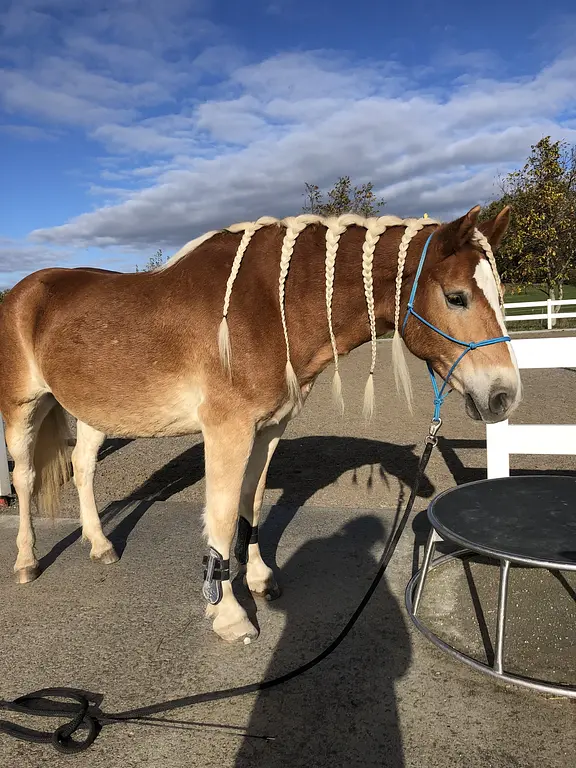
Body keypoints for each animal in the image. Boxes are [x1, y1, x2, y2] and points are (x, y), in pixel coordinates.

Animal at [0, 204, 521, 643]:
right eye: (456, 297)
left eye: (500, 296)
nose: (504, 395)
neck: (270, 307)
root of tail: (23, 292)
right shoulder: (226, 431)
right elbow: (223, 516)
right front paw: (229, 615)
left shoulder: (268, 429)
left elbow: (249, 505)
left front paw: (258, 579)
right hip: (22, 408)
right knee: (24, 478)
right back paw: (26, 561)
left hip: (95, 410)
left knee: (83, 468)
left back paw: (100, 544)